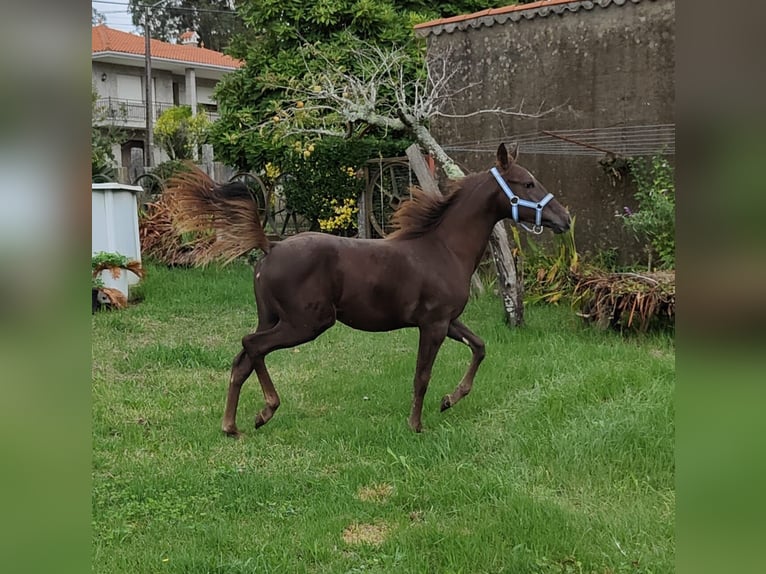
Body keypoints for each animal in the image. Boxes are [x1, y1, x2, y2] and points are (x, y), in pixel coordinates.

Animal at [171, 145, 572, 436]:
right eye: (527, 183)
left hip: (271, 317)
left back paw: (232, 425)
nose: (565, 219)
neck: (443, 248)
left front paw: (449, 400)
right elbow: (422, 376)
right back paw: (266, 410)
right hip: (306, 323)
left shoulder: (448, 321)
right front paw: (416, 425)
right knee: (252, 346)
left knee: (242, 361)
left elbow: (480, 347)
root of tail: (269, 247)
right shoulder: (433, 325)